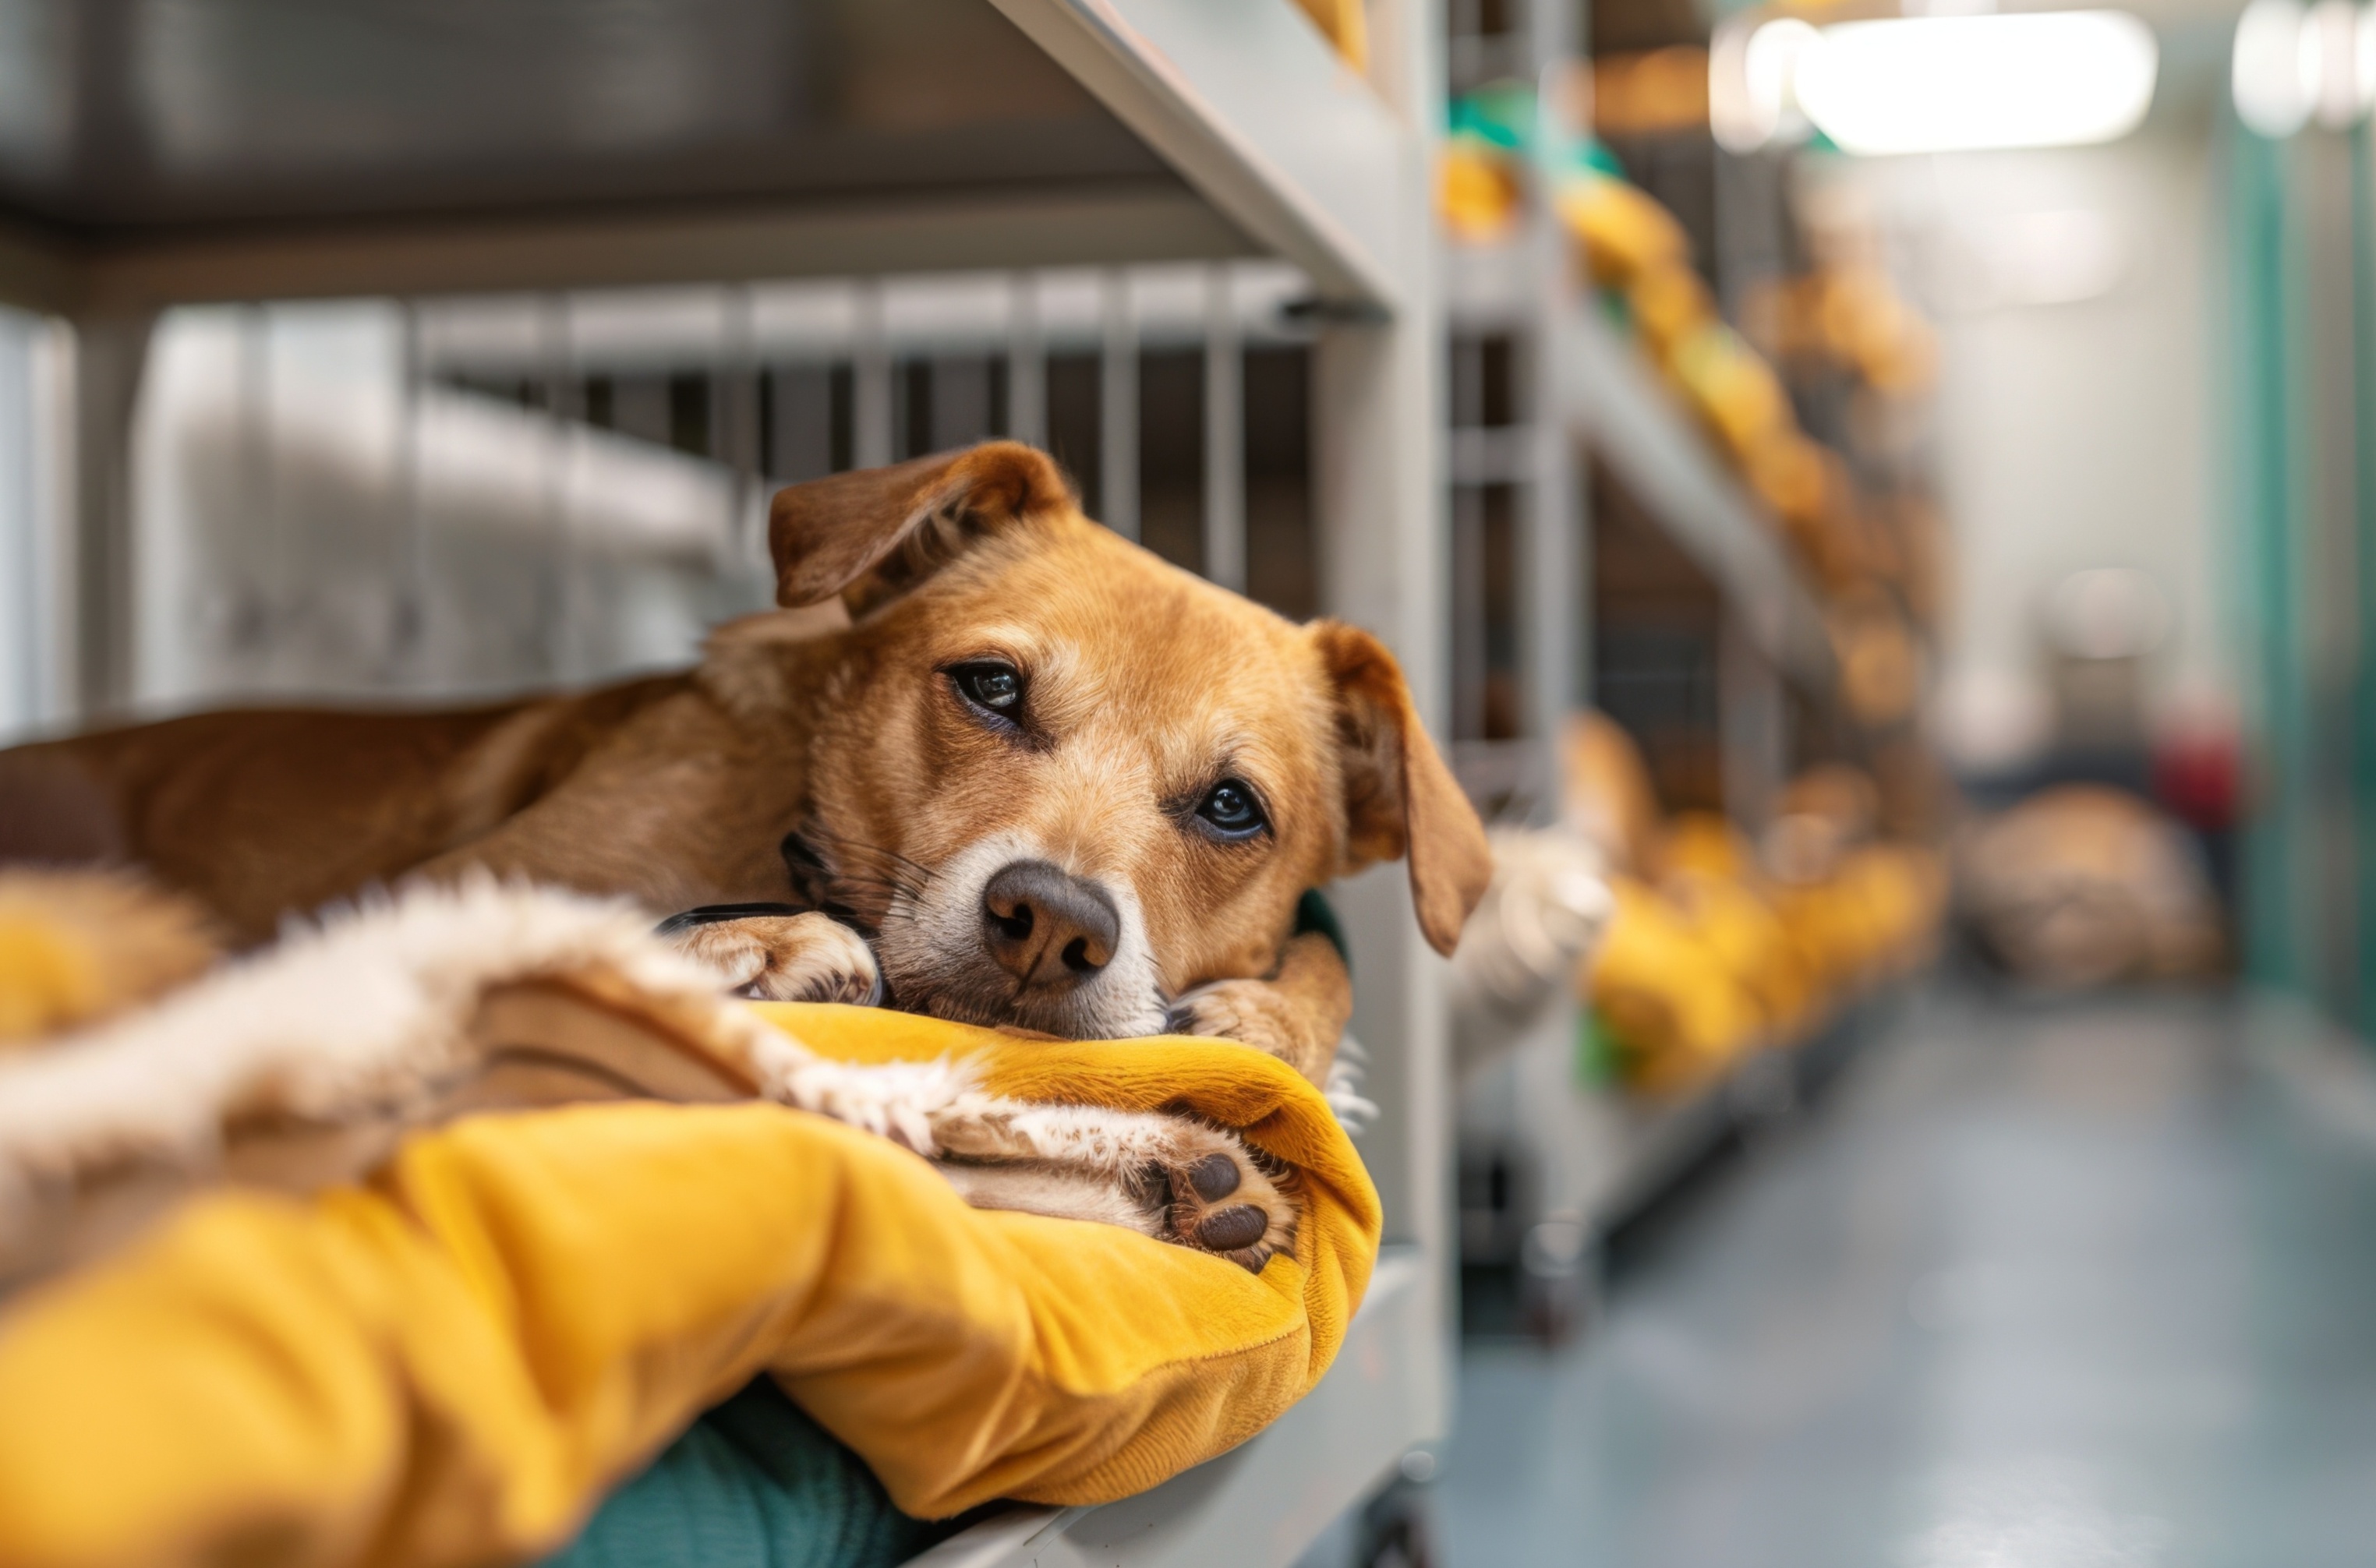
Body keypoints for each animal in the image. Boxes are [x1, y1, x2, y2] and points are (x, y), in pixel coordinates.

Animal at [0, 442, 1482, 1097]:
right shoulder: (429, 891)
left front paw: (1267, 1021)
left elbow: (1322, 965)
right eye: (991, 687)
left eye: (1231, 807)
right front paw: (754, 946)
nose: (1051, 925)